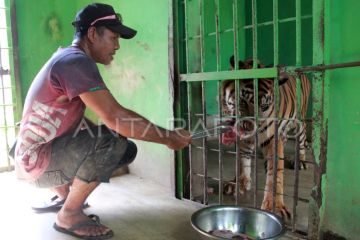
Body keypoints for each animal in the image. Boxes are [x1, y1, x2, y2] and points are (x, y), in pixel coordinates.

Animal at [221, 56, 310, 219]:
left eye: (263, 106)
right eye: (242, 100)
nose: (249, 128)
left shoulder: (273, 138)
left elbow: (275, 174)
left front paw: (275, 207)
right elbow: (242, 160)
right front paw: (239, 183)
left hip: (299, 122)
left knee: (301, 140)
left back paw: (300, 161)